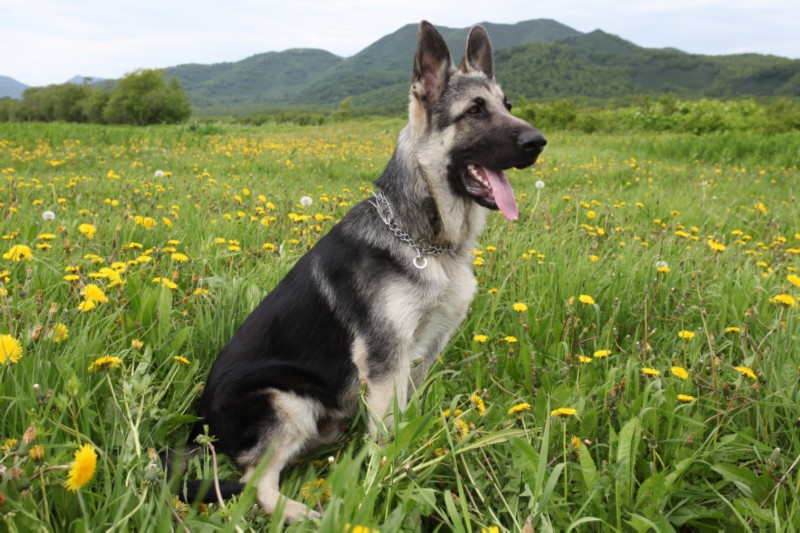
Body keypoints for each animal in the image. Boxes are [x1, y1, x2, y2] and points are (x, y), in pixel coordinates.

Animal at [174, 18, 544, 520]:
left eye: (508, 107)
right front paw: (384, 485)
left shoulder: (422, 356)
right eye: (475, 111)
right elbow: (387, 435)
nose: (538, 142)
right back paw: (308, 515)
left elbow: (405, 421)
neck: (424, 238)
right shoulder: (385, 362)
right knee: (256, 485)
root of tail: (201, 424)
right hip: (286, 400)